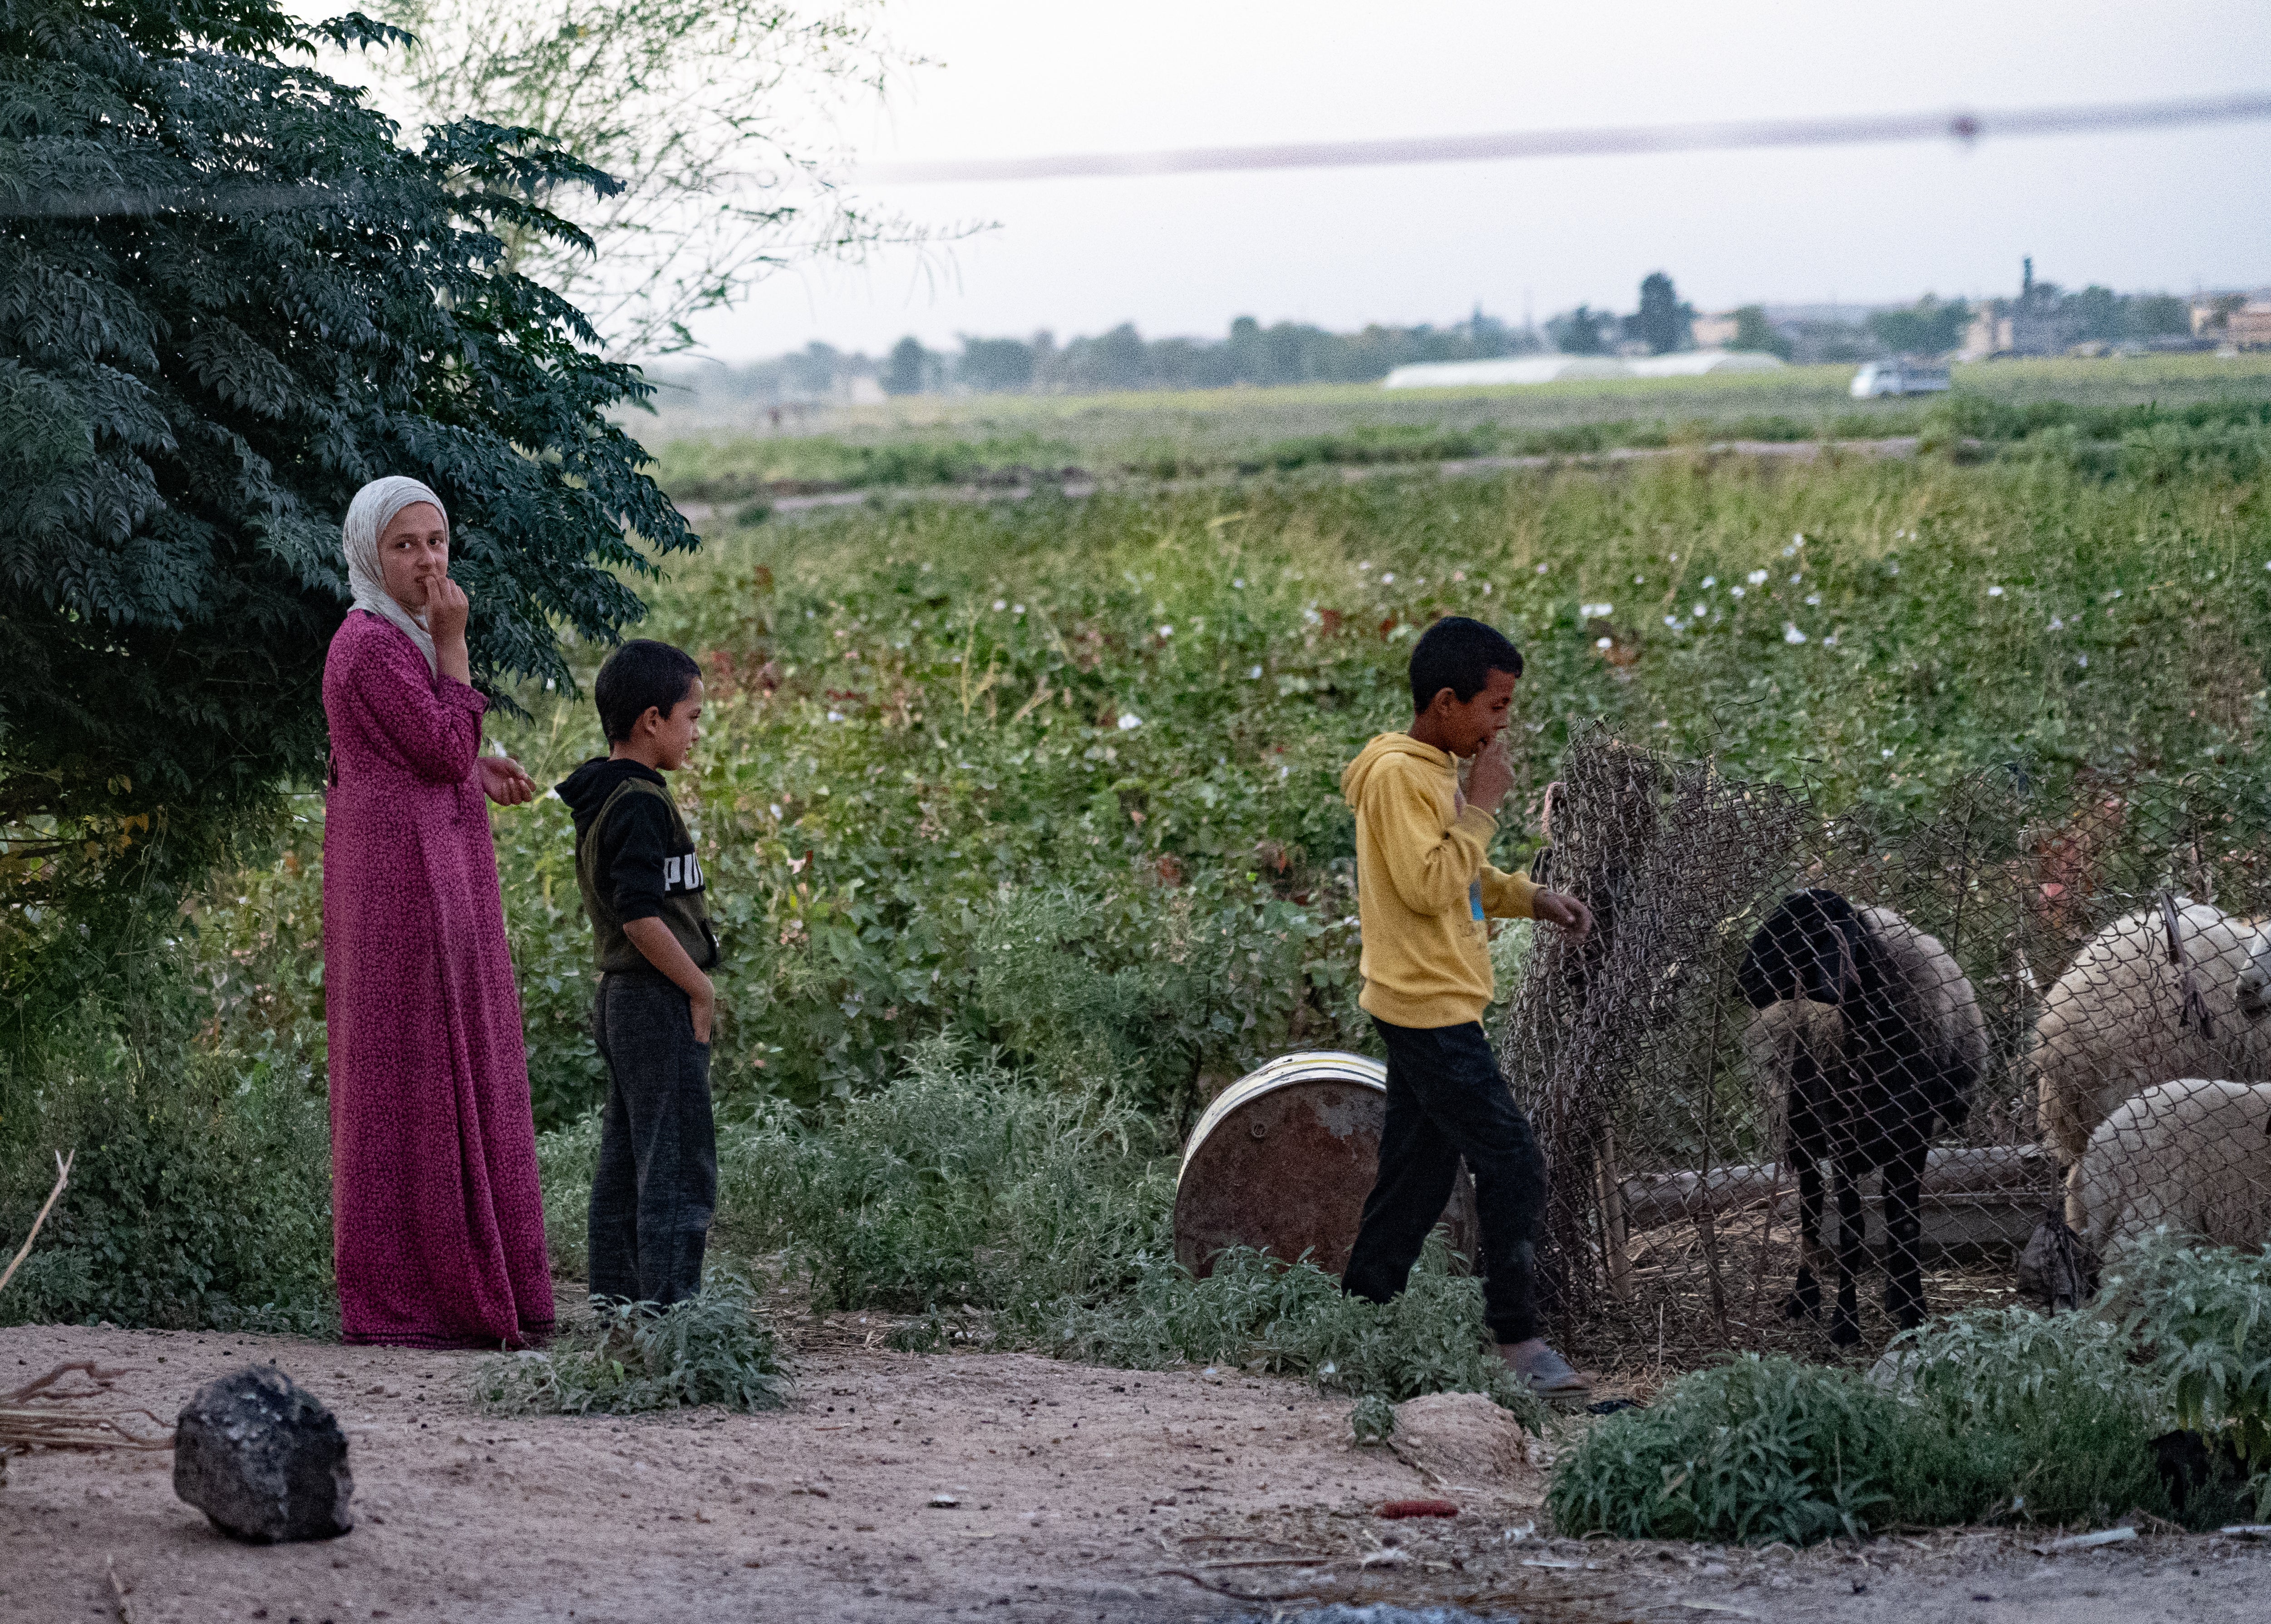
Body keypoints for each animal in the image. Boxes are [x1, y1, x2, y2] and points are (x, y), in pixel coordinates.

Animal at [1744, 890, 1980, 1344]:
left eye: (1801, 928)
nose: (1740, 981)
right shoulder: (1841, 1138)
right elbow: (1850, 1232)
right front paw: (1844, 1324)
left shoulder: (1915, 1134)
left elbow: (1905, 1224)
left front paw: (1913, 1314)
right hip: (1799, 1128)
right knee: (1811, 1209)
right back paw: (1804, 1299)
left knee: (1888, 1207)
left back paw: (1894, 1294)